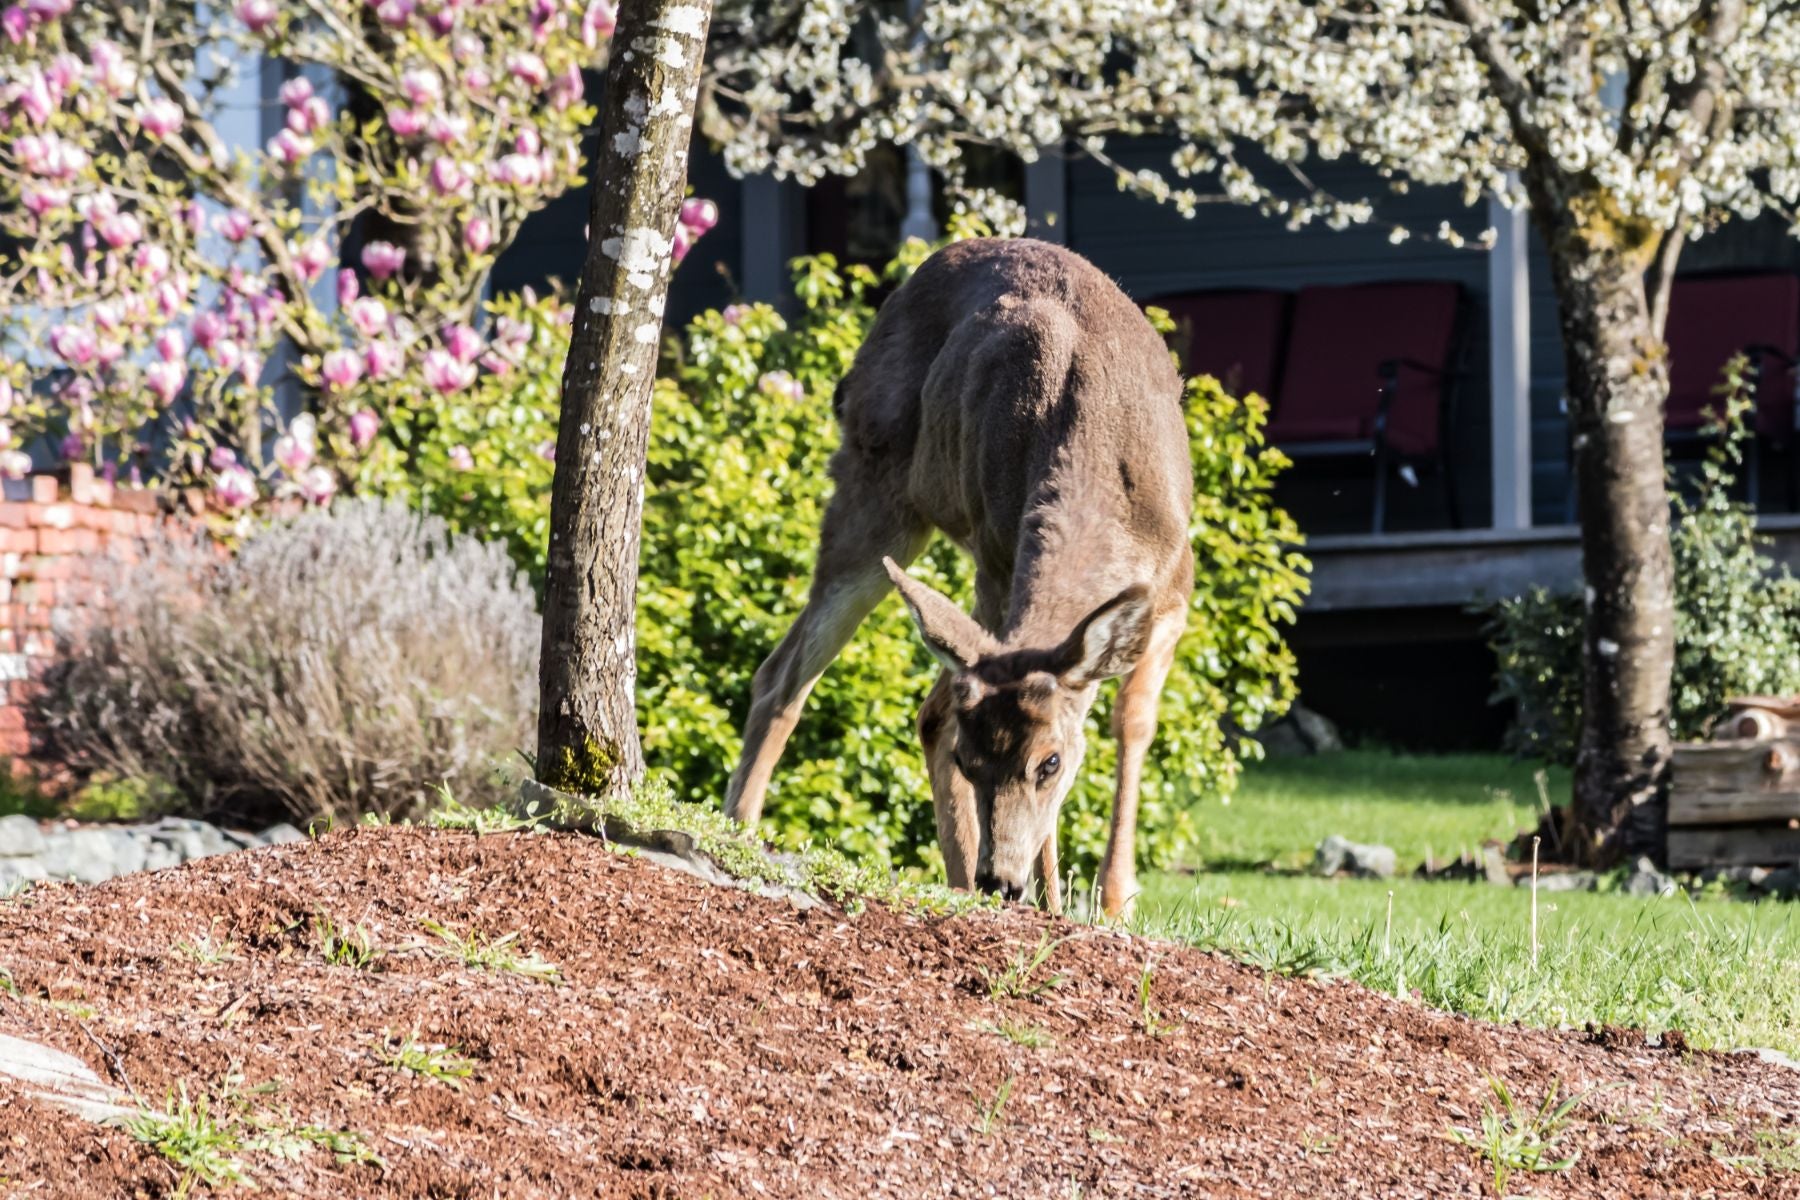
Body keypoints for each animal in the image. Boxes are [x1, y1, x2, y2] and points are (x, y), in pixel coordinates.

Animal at [716, 237, 1195, 921]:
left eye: (1049, 763)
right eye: (971, 763)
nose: (1002, 881)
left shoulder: (1175, 588)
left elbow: (1131, 721)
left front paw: (1109, 901)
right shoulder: (998, 557)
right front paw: (1062, 899)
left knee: (908, 700)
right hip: (879, 491)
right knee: (808, 677)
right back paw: (747, 833)